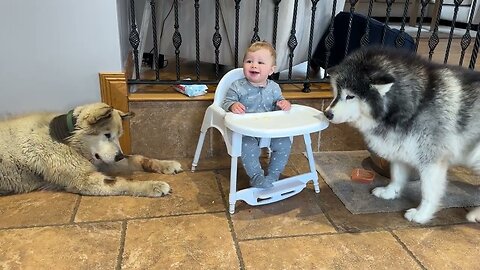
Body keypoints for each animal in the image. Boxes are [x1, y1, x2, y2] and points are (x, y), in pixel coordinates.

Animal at [0, 102, 183, 197]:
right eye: (107, 135)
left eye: (118, 135)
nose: (119, 156)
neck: (69, 139)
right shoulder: (85, 179)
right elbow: (123, 182)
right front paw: (153, 186)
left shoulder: (106, 160)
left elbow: (139, 159)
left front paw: (166, 165)